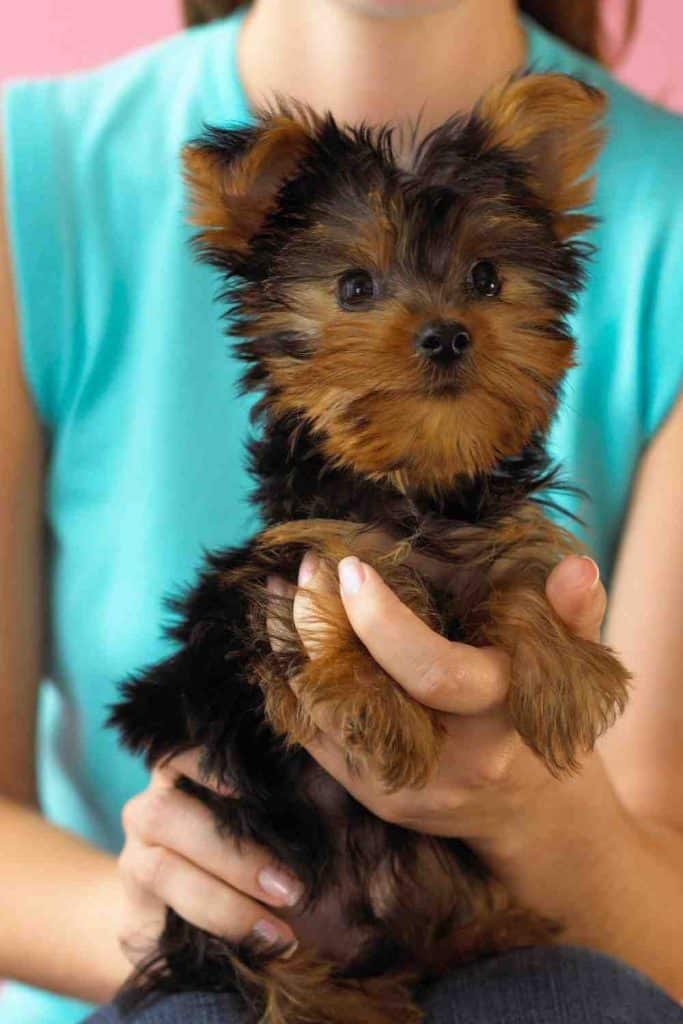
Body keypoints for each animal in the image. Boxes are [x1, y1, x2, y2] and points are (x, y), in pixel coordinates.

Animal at [111, 74, 630, 1024]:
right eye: (353, 287)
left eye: (485, 277)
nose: (447, 333)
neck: (410, 485)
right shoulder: (275, 569)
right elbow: (329, 592)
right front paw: (377, 706)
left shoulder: (483, 527)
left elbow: (516, 569)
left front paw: (560, 675)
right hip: (230, 912)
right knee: (259, 966)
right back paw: (330, 1000)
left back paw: (499, 930)